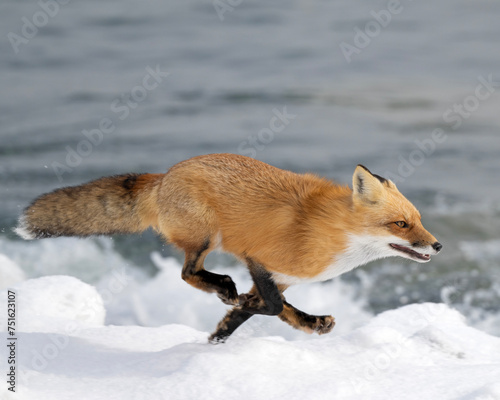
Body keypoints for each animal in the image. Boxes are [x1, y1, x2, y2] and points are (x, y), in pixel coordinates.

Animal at [14, 153, 442, 340]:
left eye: (419, 219)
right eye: (401, 224)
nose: (437, 246)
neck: (333, 235)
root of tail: (165, 175)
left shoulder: (281, 275)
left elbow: (260, 310)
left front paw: (219, 336)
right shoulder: (257, 257)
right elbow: (272, 306)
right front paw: (239, 308)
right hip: (206, 236)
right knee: (187, 272)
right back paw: (221, 285)